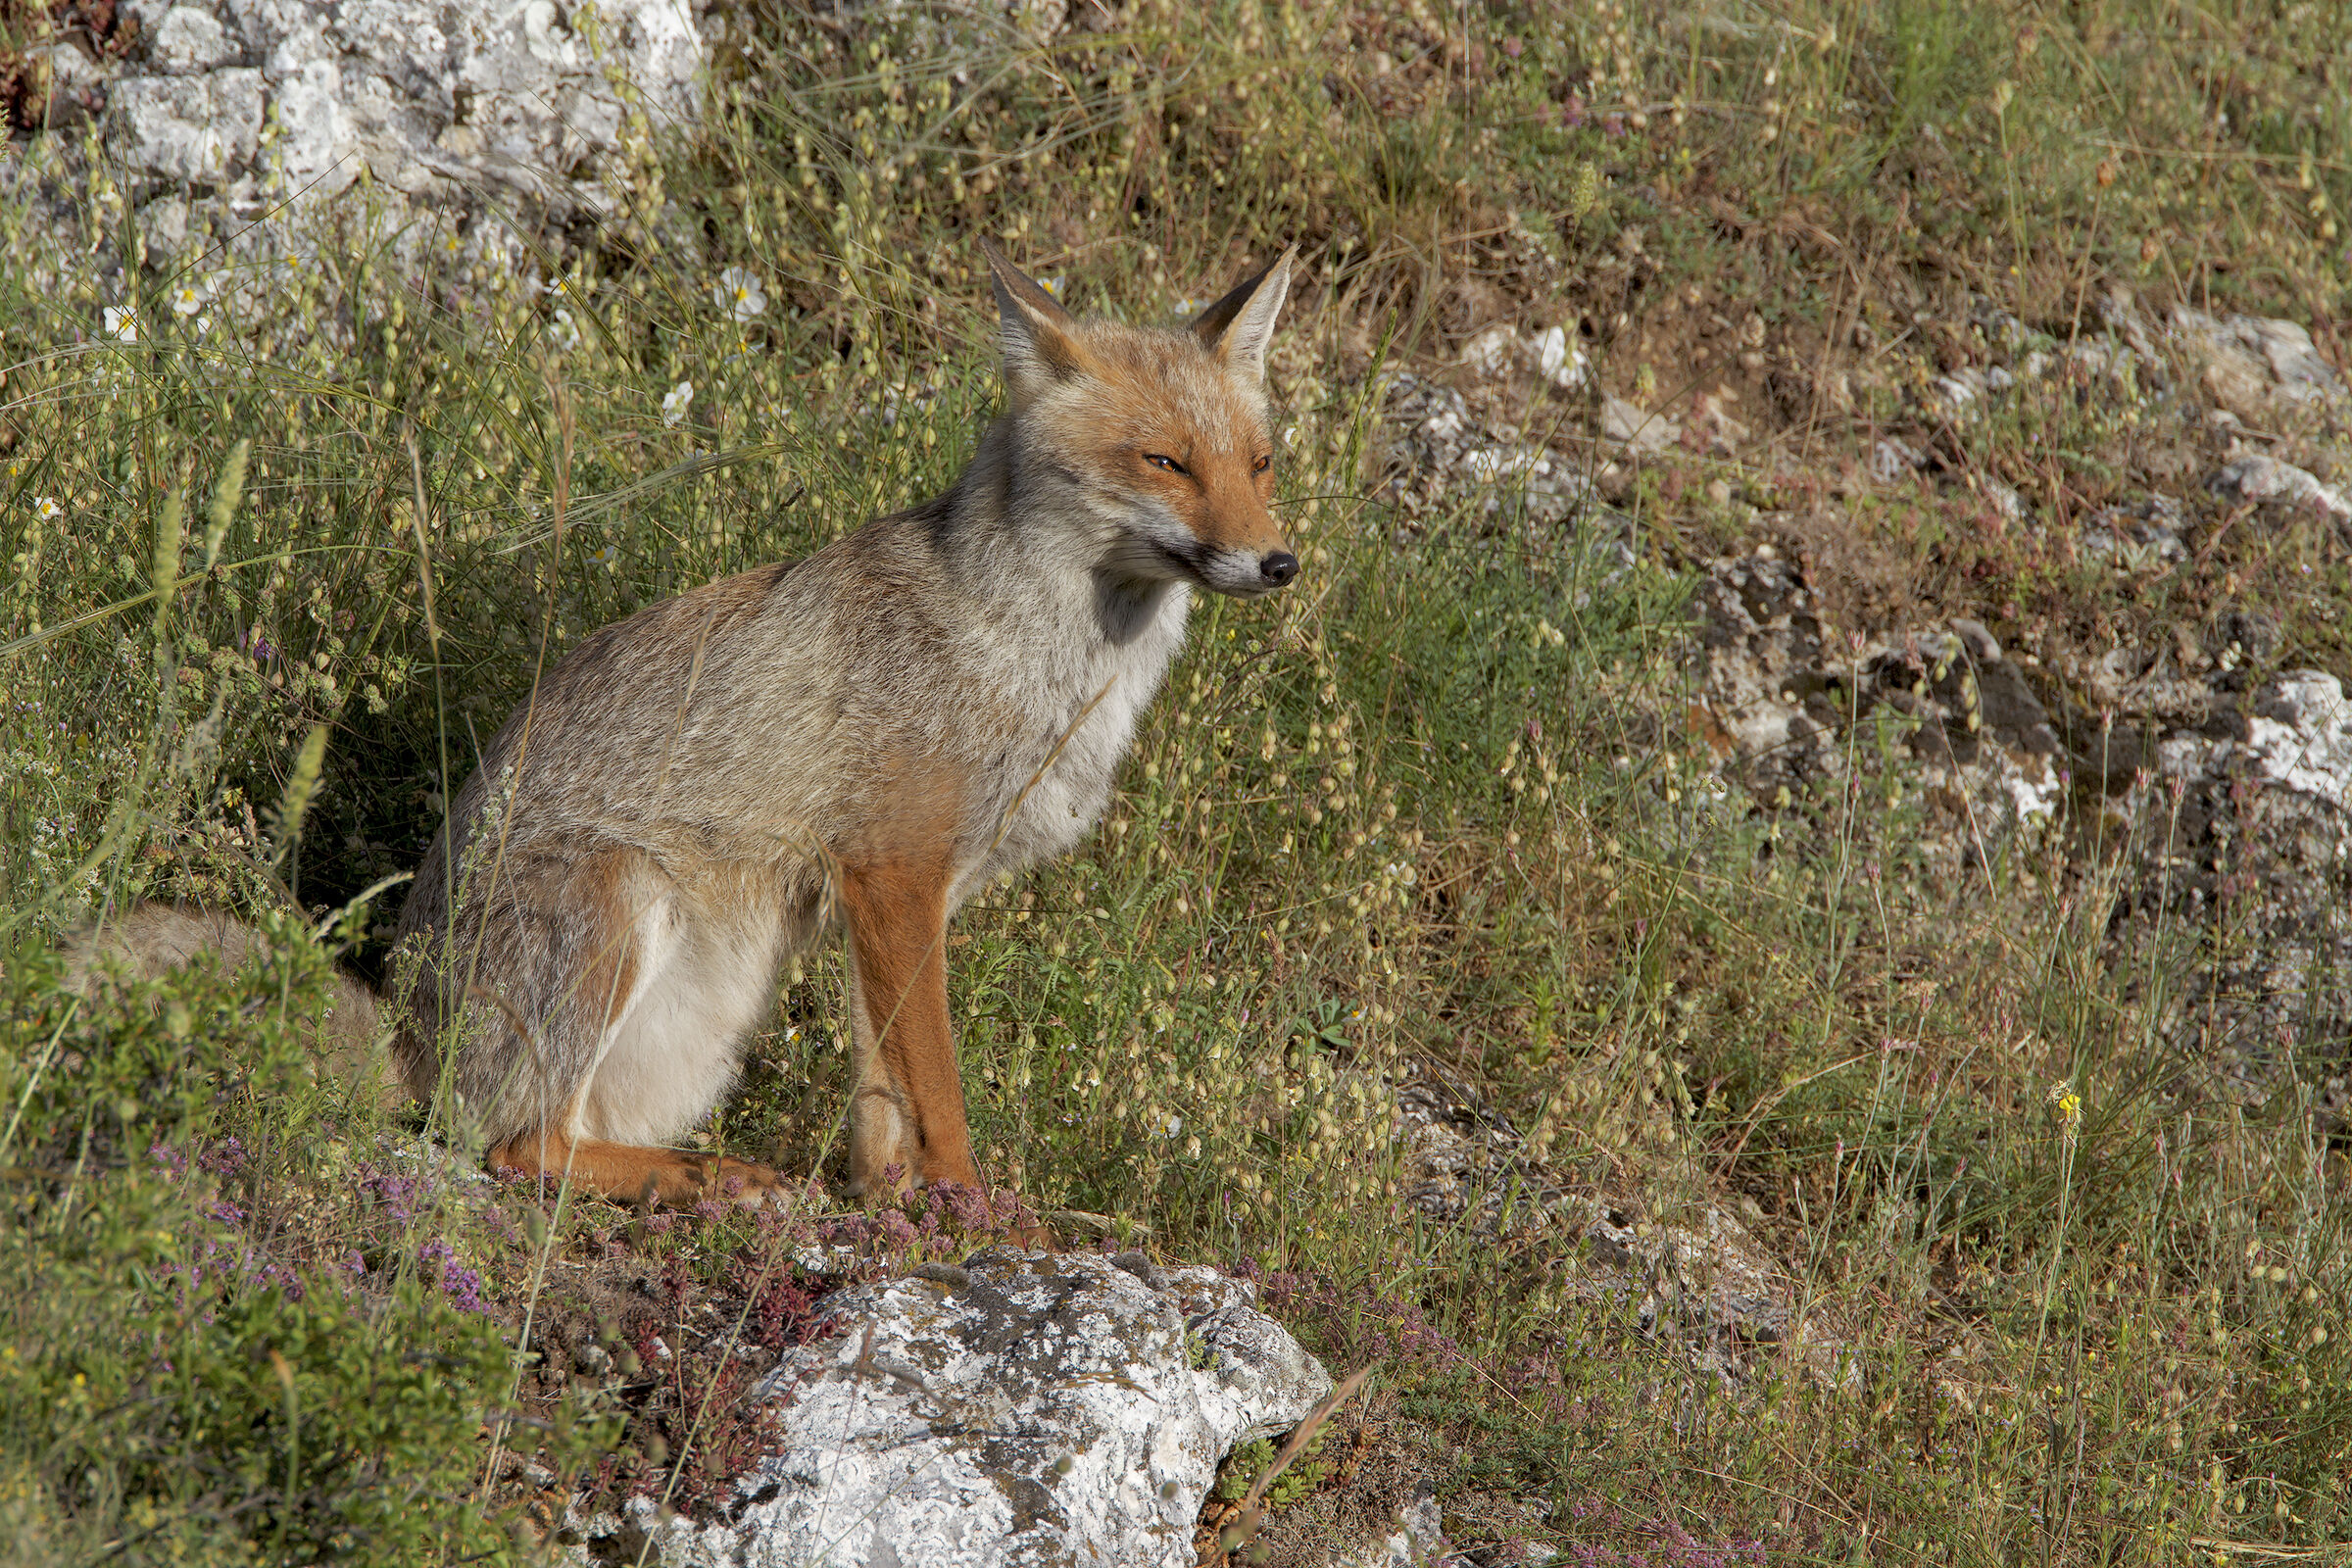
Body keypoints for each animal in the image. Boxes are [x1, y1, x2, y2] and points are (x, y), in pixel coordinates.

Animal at [80, 239, 1300, 1221]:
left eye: (1259, 464)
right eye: (1166, 461)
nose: (1281, 562)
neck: (1035, 657)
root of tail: (410, 1028)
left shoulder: (889, 897)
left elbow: (880, 1096)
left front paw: (890, 1211)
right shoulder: (894, 871)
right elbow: (938, 1090)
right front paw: (981, 1216)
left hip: (707, 1017)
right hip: (619, 910)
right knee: (514, 1146)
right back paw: (703, 1178)